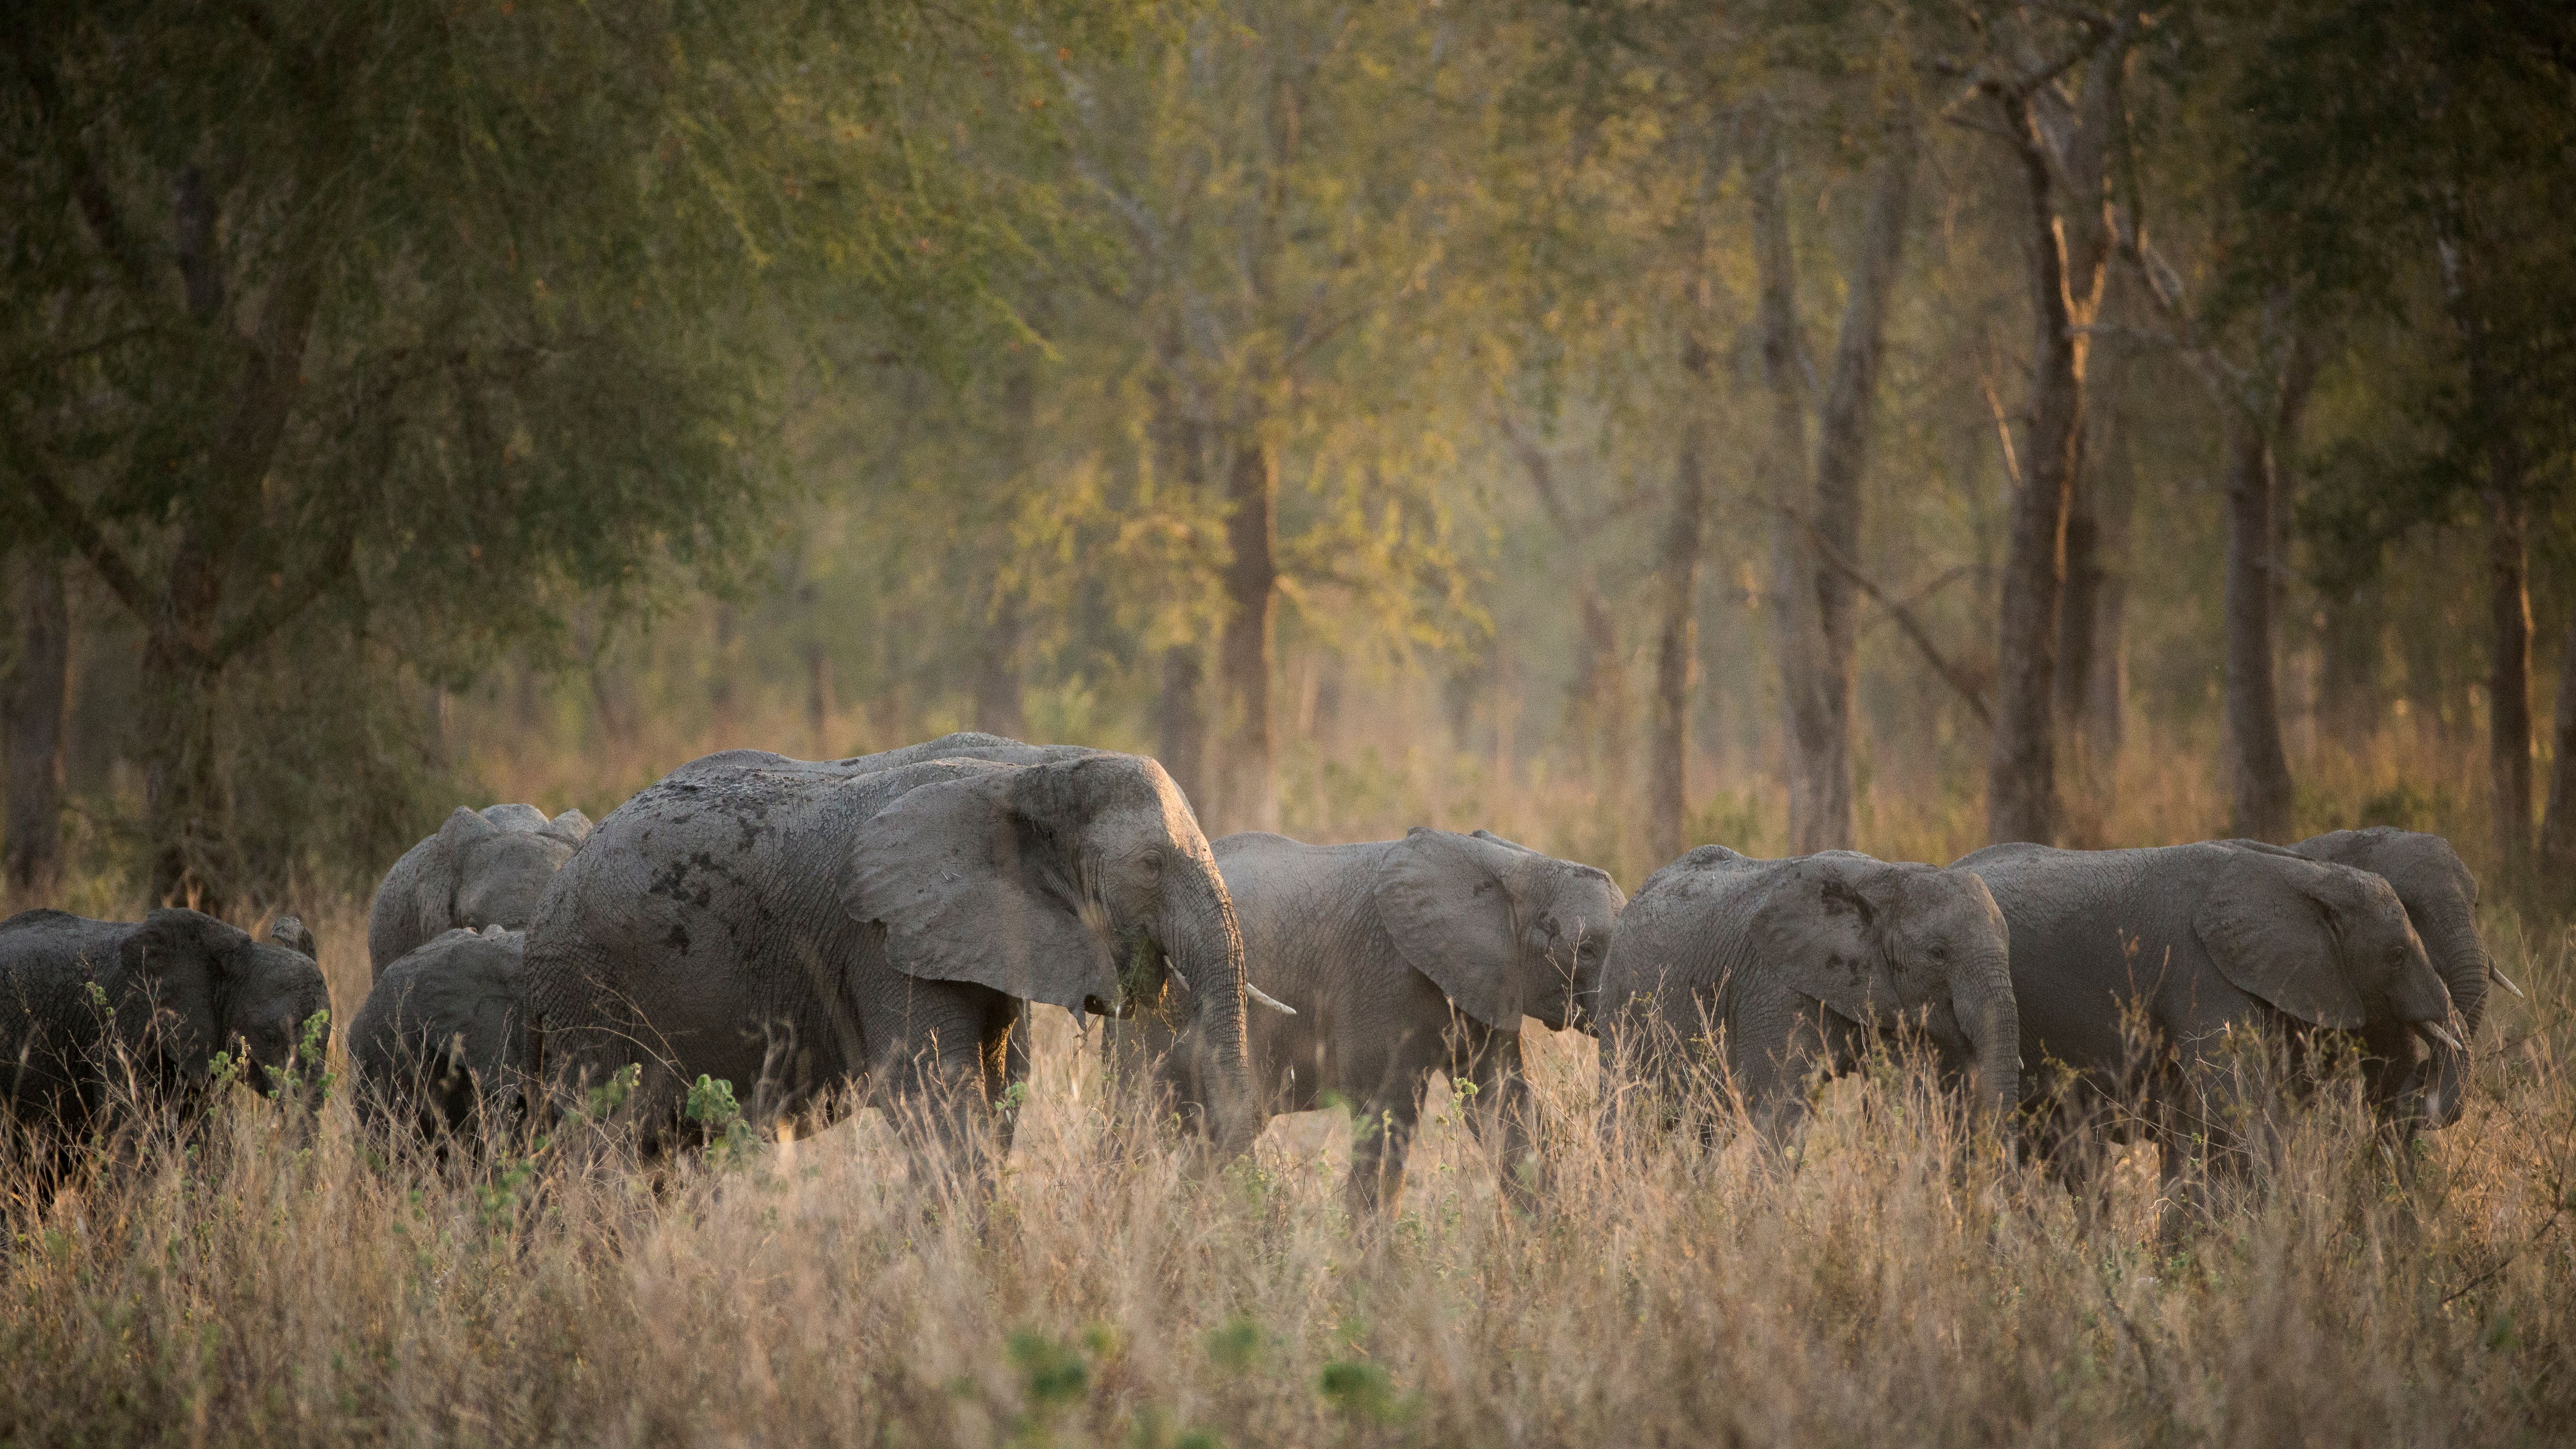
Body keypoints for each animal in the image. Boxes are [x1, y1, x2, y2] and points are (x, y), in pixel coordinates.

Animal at [520, 735, 1263, 1169]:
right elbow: (933, 1097)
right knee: (603, 1145)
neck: (1028, 772)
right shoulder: (880, 938)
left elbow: (997, 1094)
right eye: (1149, 866)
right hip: (590, 989)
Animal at [1109, 827, 1625, 1214]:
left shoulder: (1488, 984)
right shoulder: (1386, 976)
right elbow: (1385, 1115)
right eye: (1588, 949)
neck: (1509, 866)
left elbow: (1505, 1108)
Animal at [1595, 847, 2019, 1145]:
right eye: (1937, 953)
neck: (1887, 876)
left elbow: (1906, 1100)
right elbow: (1781, 1111)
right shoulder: (1773, 987)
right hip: (1622, 1004)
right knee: (1626, 1109)